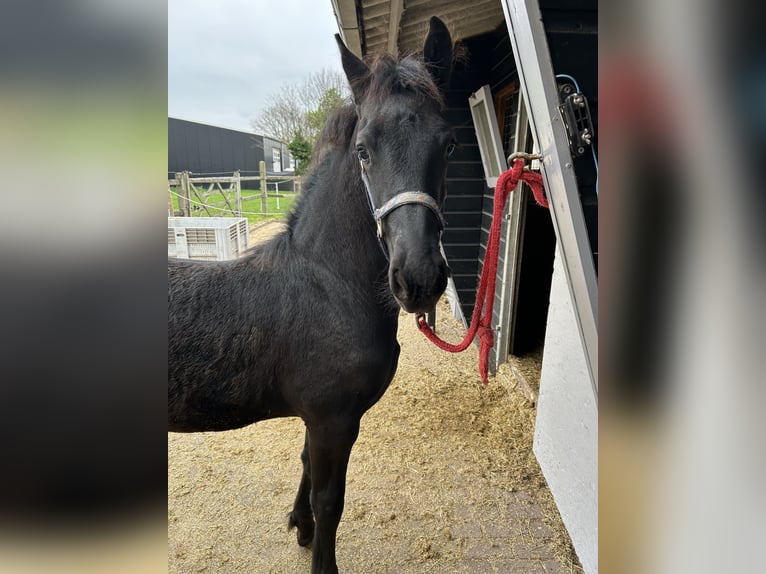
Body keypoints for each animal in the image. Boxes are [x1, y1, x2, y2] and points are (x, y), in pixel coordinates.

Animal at [168, 17, 454, 574]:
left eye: (449, 145)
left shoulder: (317, 418)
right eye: (364, 149)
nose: (419, 279)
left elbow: (305, 471)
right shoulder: (333, 419)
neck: (328, 286)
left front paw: (298, 525)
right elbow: (331, 502)